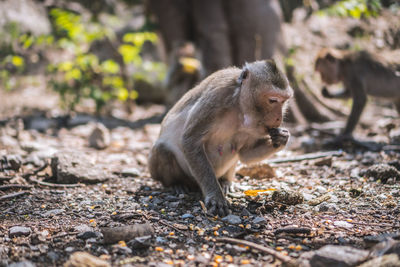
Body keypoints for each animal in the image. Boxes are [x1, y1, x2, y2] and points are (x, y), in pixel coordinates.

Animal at [148, 59, 292, 217]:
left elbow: (245, 154)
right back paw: (176, 184)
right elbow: (190, 140)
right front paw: (216, 197)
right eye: (273, 100)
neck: (240, 106)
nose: (279, 118)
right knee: (162, 149)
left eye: (284, 101)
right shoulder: (217, 96)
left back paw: (224, 182)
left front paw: (282, 137)